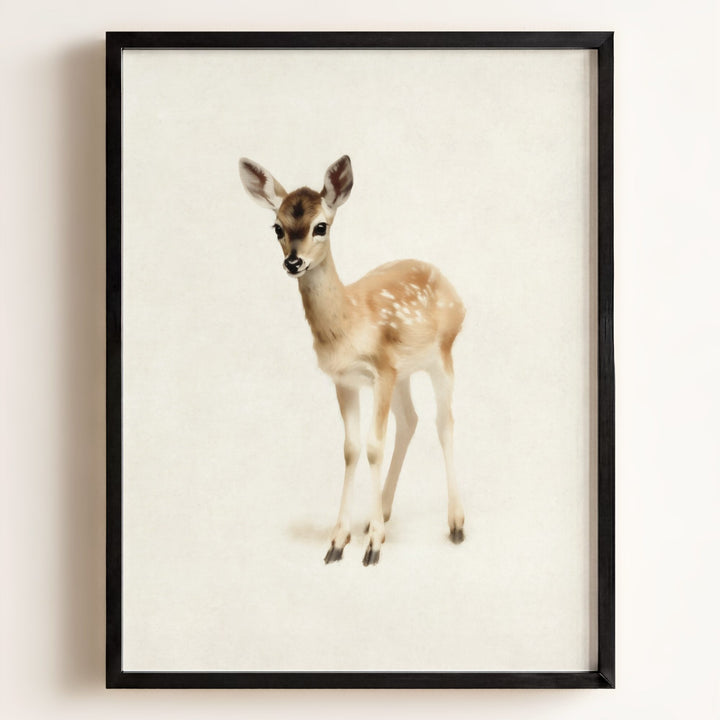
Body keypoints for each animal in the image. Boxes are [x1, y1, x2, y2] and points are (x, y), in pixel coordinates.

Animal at [239, 155, 466, 566]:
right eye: (277, 226)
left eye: (321, 226)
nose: (293, 262)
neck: (349, 324)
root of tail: (453, 290)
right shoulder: (346, 379)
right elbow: (352, 448)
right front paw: (339, 540)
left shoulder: (381, 370)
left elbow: (374, 446)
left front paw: (373, 547)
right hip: (405, 372)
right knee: (410, 420)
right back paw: (383, 513)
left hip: (441, 354)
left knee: (443, 421)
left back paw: (455, 523)